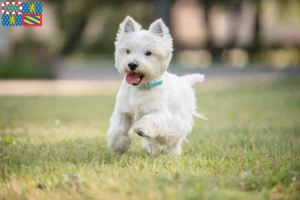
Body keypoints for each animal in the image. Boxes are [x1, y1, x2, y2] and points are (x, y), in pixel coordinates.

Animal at [106, 16, 207, 156]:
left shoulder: (162, 113)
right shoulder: (123, 111)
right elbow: (117, 129)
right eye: (127, 51)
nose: (132, 64)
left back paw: (172, 154)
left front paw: (141, 128)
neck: (141, 88)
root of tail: (185, 81)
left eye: (148, 53)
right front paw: (119, 146)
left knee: (173, 139)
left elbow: (152, 118)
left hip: (181, 120)